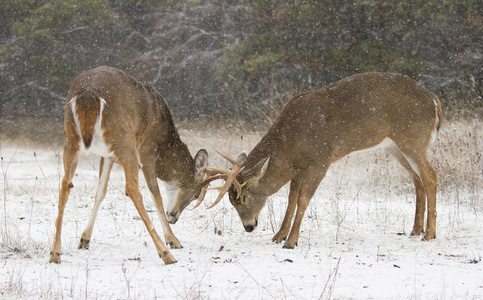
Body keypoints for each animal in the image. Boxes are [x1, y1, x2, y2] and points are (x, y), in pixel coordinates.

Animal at [50, 66, 211, 264]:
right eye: (196, 194)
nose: (174, 217)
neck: (165, 141)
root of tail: (89, 93)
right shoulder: (147, 150)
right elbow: (156, 194)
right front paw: (173, 240)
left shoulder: (107, 156)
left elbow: (100, 192)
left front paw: (84, 239)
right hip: (125, 142)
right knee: (132, 189)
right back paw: (166, 254)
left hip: (70, 138)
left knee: (65, 183)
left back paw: (55, 253)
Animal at [196, 71, 442, 247]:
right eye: (231, 200)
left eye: (243, 197)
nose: (248, 227)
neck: (289, 143)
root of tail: (434, 100)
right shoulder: (298, 167)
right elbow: (291, 199)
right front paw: (278, 236)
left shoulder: (320, 160)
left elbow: (304, 200)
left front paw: (291, 241)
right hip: (395, 146)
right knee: (417, 179)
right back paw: (415, 230)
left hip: (412, 138)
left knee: (431, 176)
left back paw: (429, 233)